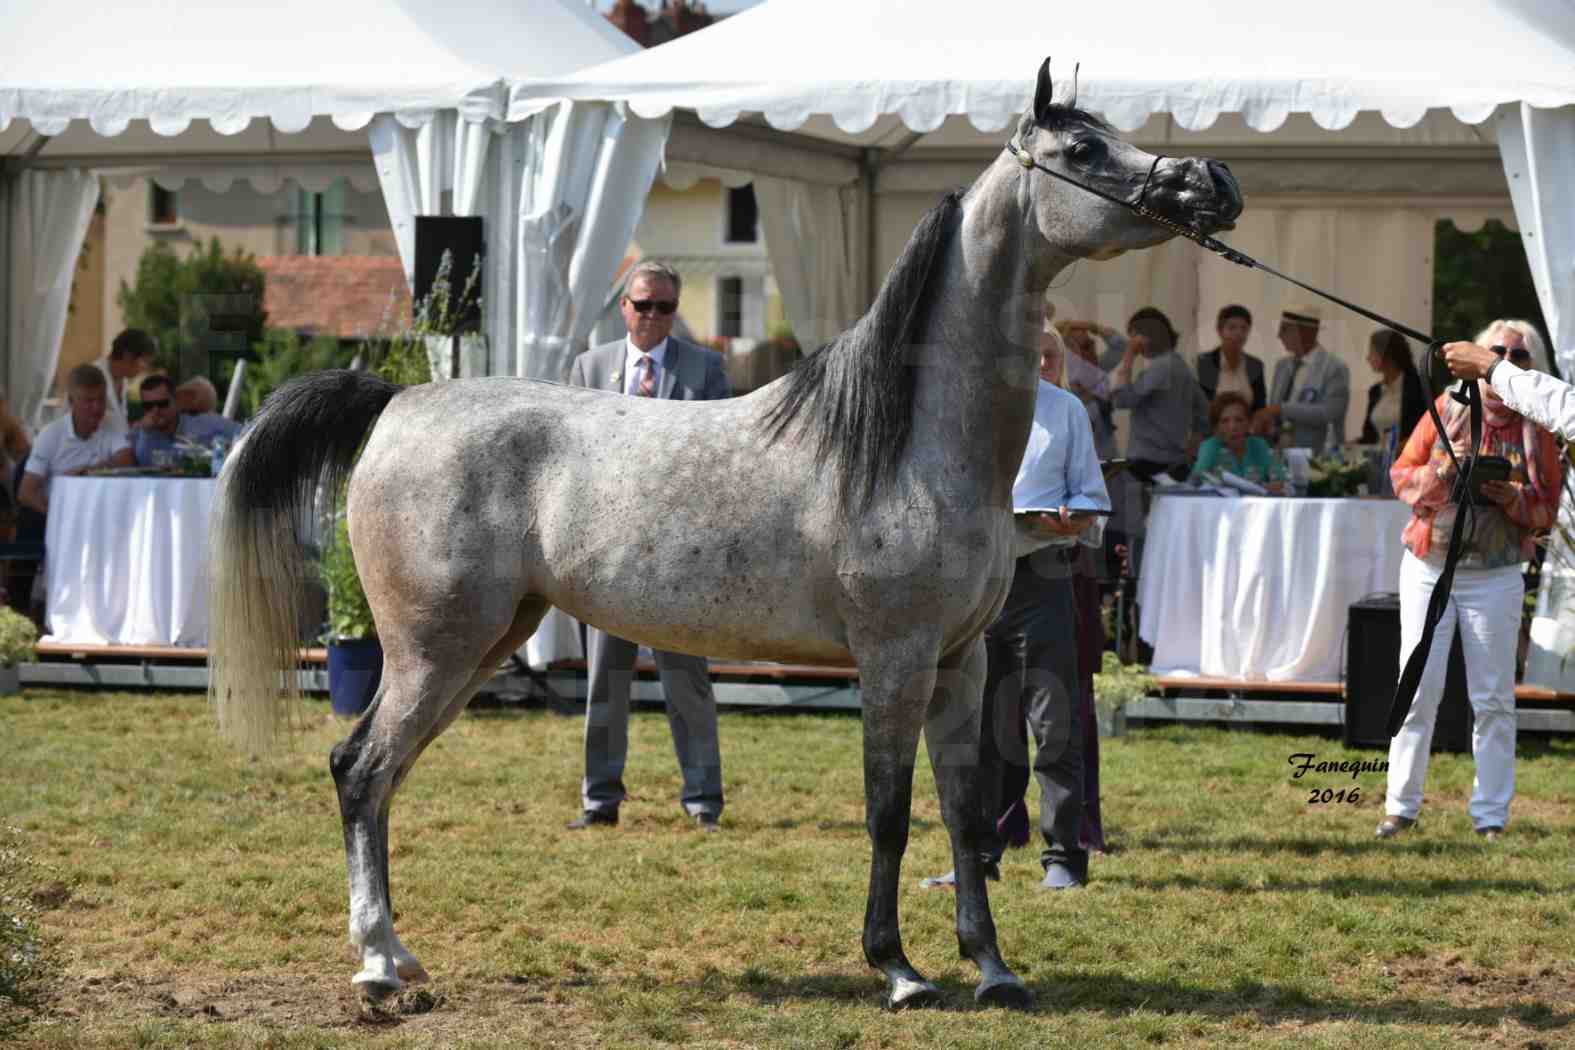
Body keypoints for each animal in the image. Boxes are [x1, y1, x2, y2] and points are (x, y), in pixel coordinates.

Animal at [209, 59, 1241, 1007]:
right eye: (1082, 151)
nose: (1212, 182)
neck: (905, 439)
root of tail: (395, 404)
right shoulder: (893, 660)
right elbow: (889, 812)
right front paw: (899, 970)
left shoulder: (961, 660)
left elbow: (961, 813)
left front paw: (990, 967)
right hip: (435, 647)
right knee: (359, 768)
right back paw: (378, 967)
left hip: (484, 642)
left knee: (379, 775)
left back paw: (398, 956)